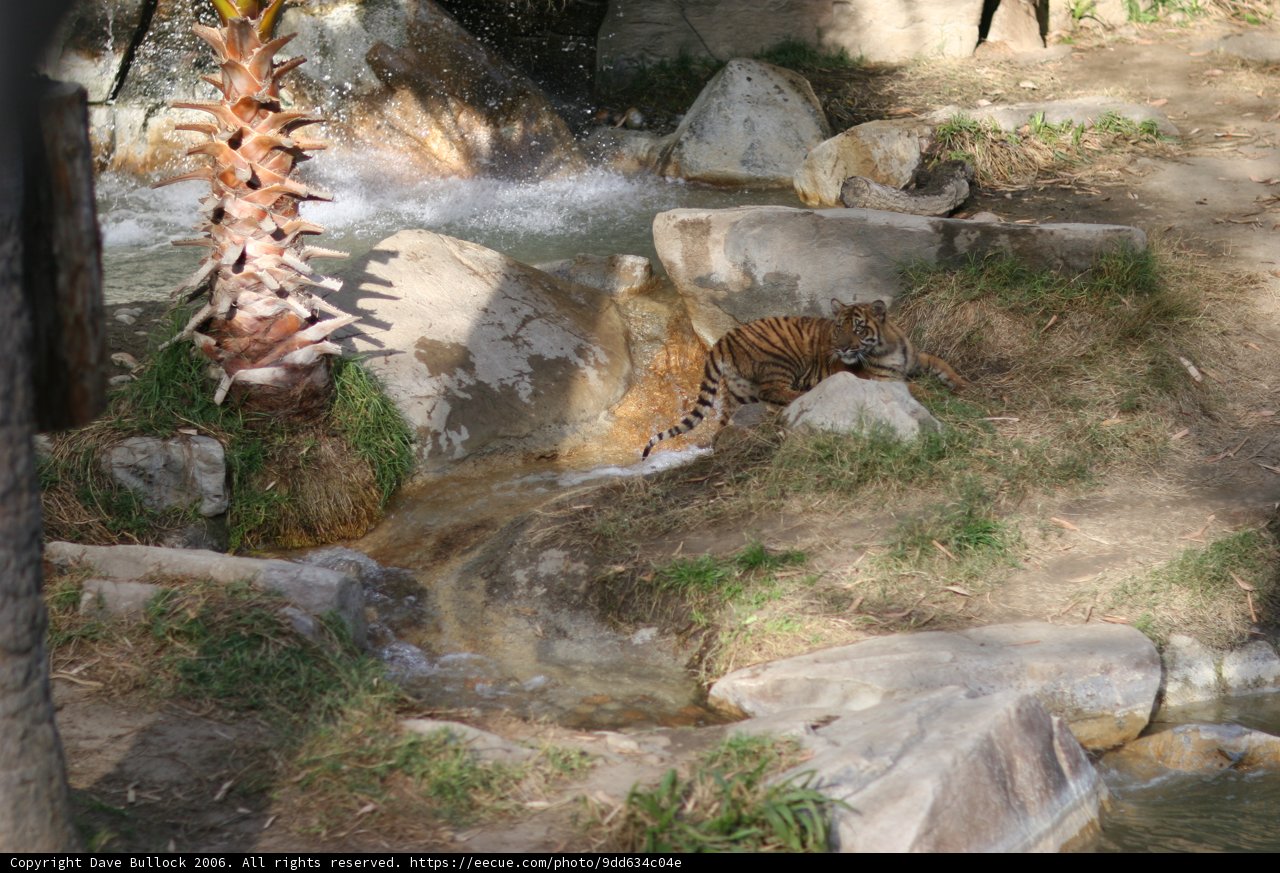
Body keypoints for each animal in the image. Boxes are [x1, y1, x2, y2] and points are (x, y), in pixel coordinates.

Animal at [641, 299, 965, 459]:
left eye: (858, 328)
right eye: (838, 328)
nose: (842, 348)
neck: (888, 346)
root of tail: (722, 340)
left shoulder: (917, 358)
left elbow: (942, 363)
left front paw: (961, 384)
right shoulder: (881, 378)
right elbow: (915, 387)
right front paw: (942, 394)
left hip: (738, 391)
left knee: (726, 421)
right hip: (780, 358)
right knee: (774, 392)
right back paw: (804, 394)